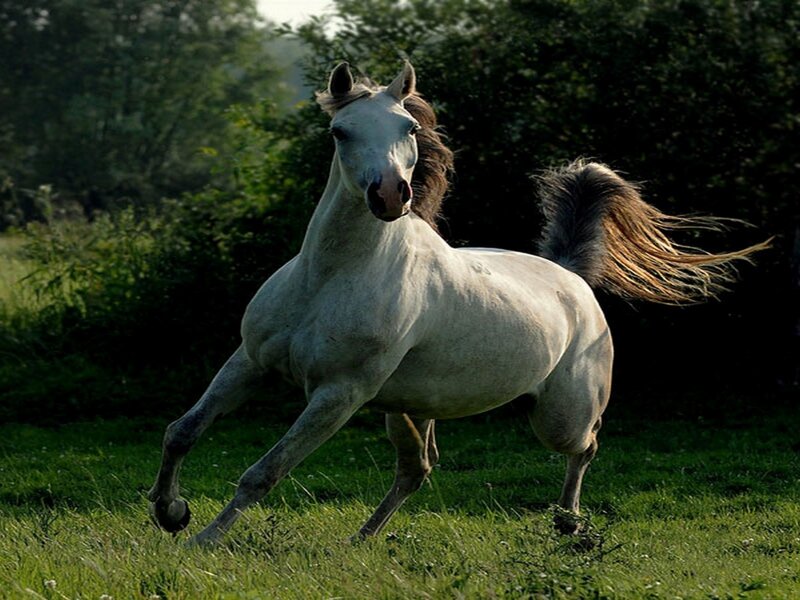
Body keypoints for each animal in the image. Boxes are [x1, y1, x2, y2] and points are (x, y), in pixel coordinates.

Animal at [148, 61, 768, 546]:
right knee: (417, 469)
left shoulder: (338, 393)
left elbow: (266, 470)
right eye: (339, 131)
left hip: (558, 416)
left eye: (407, 126)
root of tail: (572, 279)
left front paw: (200, 539)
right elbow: (182, 430)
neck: (330, 276)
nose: (389, 195)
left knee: (585, 446)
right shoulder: (249, 361)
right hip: (405, 407)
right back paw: (362, 538)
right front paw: (170, 512)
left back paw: (568, 524)